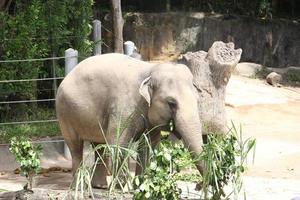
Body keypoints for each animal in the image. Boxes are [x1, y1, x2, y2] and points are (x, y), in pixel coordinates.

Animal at [56, 52, 204, 188]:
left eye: (197, 101)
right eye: (171, 103)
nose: (199, 185)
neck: (150, 70)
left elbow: (148, 146)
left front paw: (141, 185)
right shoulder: (124, 108)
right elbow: (118, 143)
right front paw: (123, 187)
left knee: (99, 146)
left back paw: (99, 186)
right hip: (65, 113)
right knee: (76, 147)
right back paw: (78, 187)